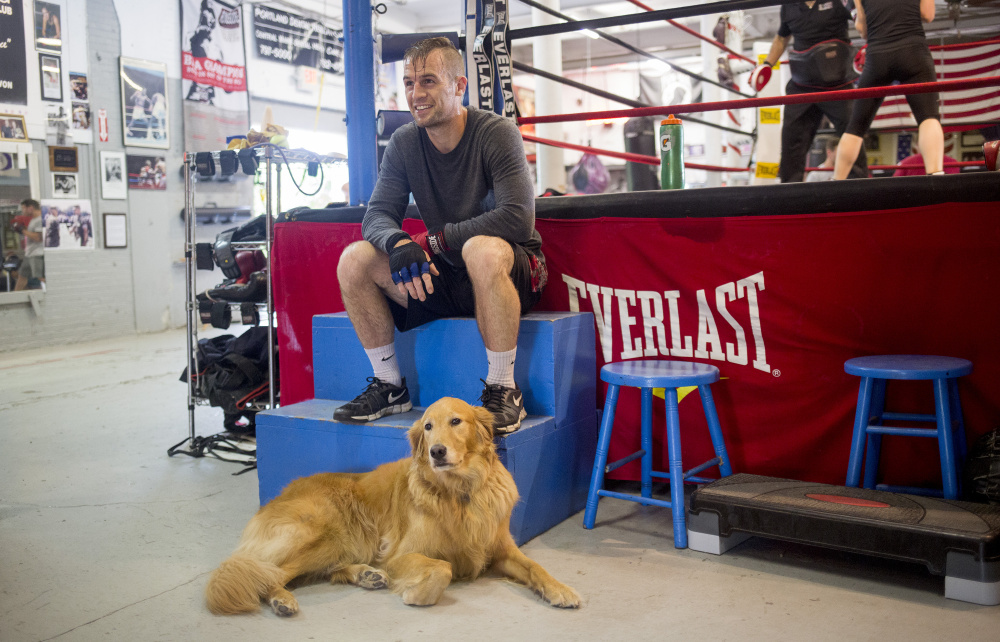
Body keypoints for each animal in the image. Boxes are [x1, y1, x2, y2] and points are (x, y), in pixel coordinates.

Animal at [207, 392, 584, 612]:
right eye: (428, 427)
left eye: (456, 421)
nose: (436, 452)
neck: (459, 493)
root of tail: (276, 496)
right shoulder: (400, 555)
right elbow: (443, 567)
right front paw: (418, 595)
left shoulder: (501, 549)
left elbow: (536, 567)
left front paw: (561, 590)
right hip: (323, 534)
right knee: (266, 573)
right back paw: (281, 598)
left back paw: (365, 575)